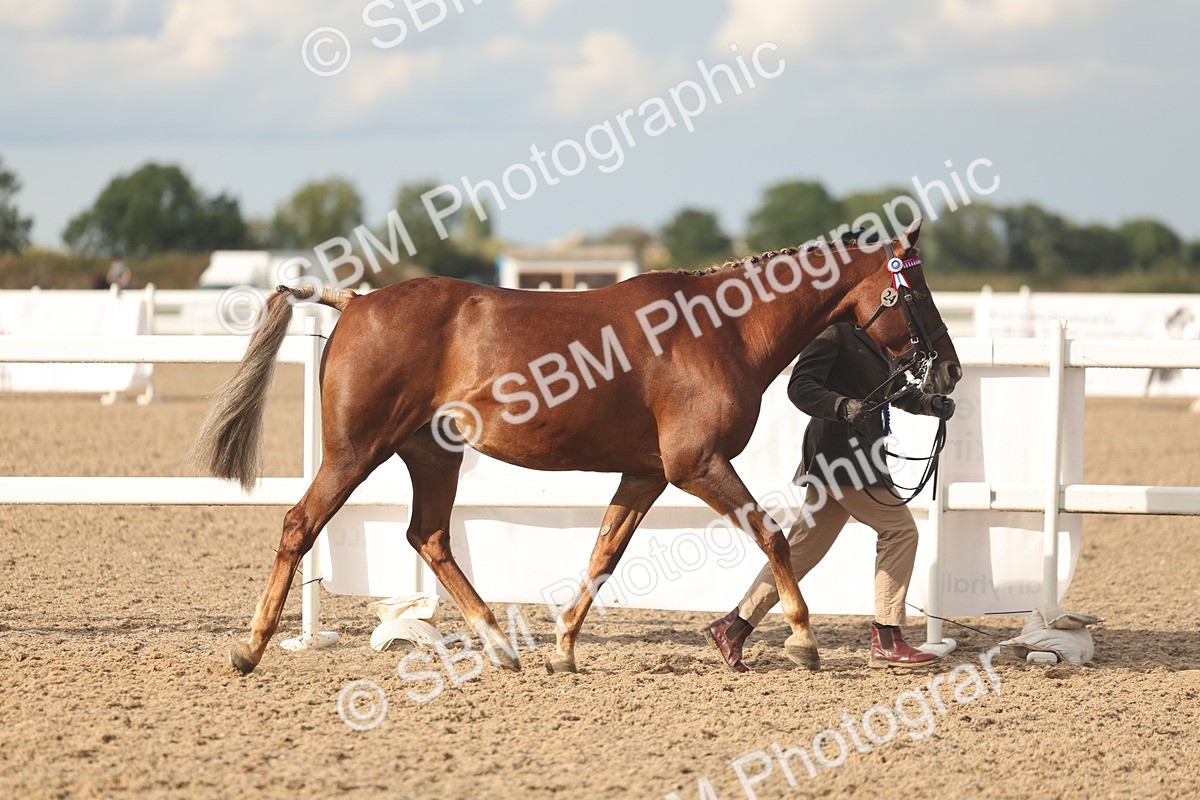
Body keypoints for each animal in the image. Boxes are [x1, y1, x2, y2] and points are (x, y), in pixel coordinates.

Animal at [189, 218, 961, 676]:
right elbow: (771, 535)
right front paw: (802, 640)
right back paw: (250, 648)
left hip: (432, 455)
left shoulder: (647, 475)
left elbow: (603, 554)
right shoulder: (697, 465)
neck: (721, 331)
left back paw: (503, 647)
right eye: (918, 287)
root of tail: (356, 301)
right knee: (301, 523)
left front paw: (562, 648)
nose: (948, 372)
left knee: (429, 537)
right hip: (355, 452)